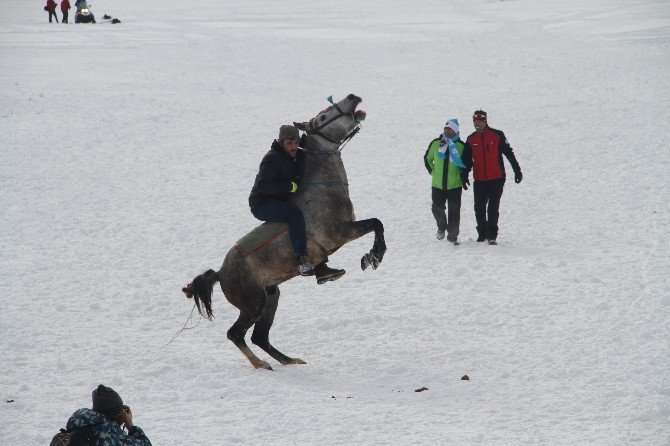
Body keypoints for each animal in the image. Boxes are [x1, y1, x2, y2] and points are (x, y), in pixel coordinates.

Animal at [184, 93, 386, 370]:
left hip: (272, 295)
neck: (322, 190)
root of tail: (221, 273)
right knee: (235, 334)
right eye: (323, 117)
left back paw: (290, 360)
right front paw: (373, 257)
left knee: (259, 336)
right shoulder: (342, 233)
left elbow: (377, 223)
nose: (354, 97)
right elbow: (377, 223)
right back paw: (261, 365)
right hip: (253, 303)